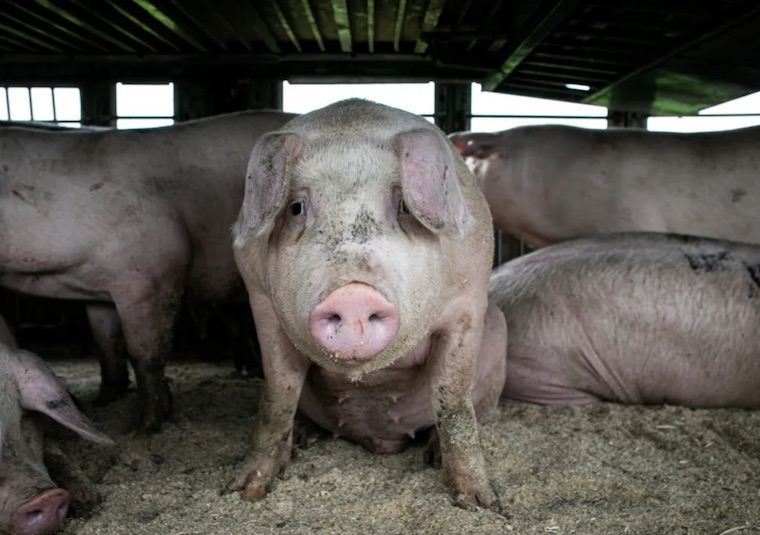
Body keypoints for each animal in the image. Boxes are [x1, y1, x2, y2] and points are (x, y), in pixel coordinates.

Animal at [0, 110, 297, 432]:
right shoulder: (96, 291)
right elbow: (106, 345)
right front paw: (104, 400)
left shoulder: (153, 273)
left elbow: (145, 353)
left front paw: (145, 426)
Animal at [227, 98, 507, 510]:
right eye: (296, 207)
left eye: (403, 205)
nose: (353, 295)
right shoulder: (260, 299)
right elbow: (278, 395)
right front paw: (244, 492)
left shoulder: (467, 300)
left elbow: (452, 399)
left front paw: (480, 504)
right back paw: (300, 439)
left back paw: (434, 454)